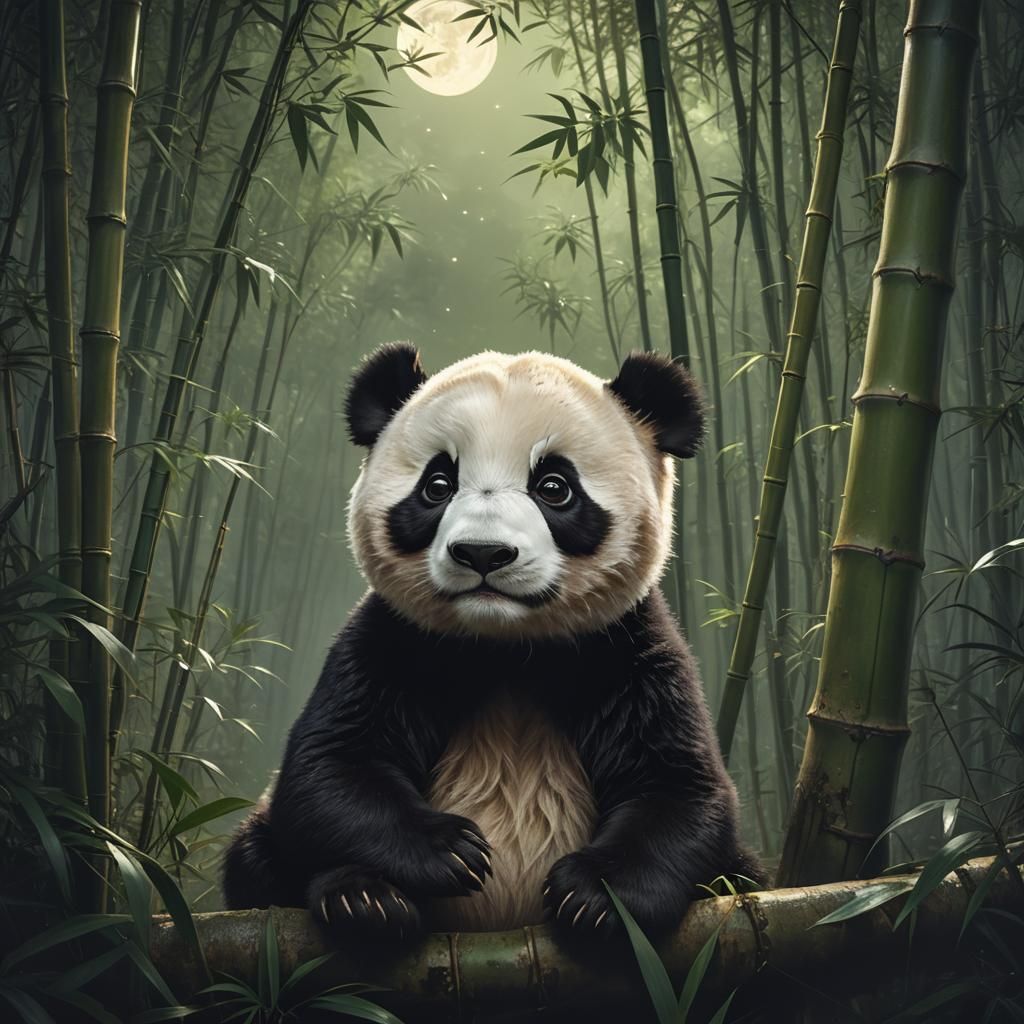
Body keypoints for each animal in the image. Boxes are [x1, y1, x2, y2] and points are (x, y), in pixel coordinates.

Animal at [223, 344, 760, 942]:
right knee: (255, 855)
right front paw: (452, 851)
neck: (505, 646)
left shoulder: (627, 649)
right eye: (437, 485)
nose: (482, 552)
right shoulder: (392, 641)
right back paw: (364, 900)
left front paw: (593, 897)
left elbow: (680, 789)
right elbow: (327, 769)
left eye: (554, 487)